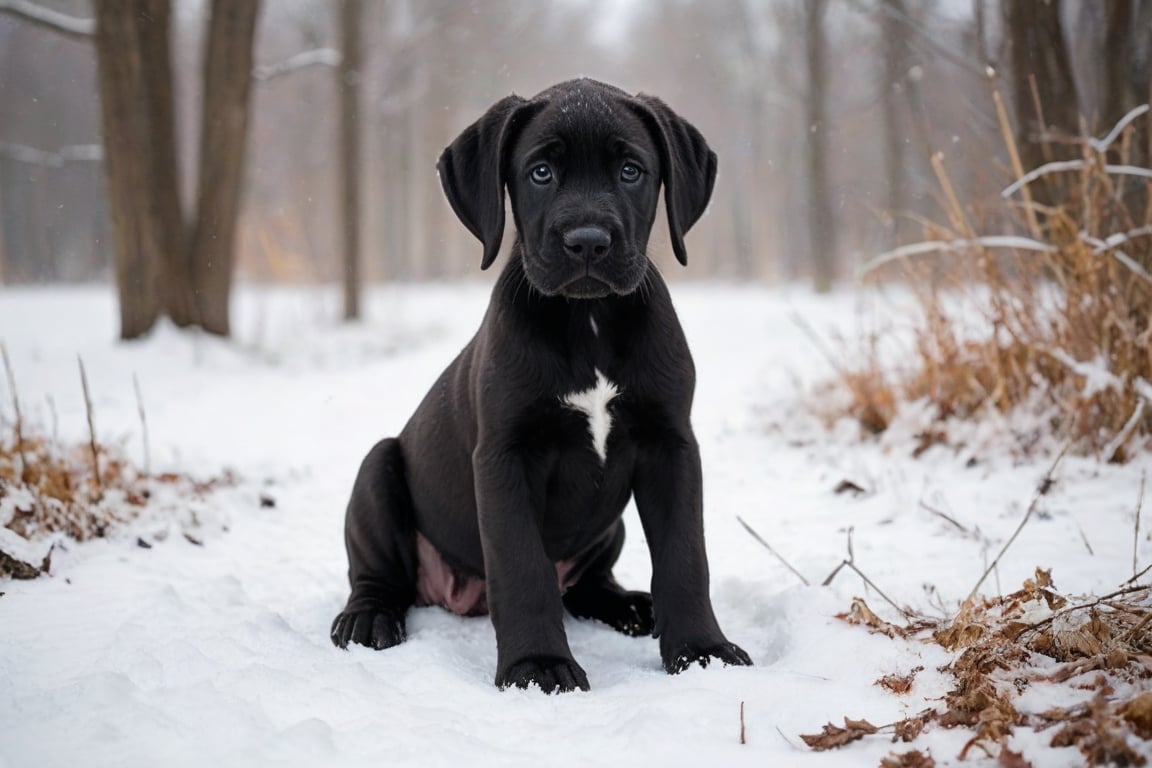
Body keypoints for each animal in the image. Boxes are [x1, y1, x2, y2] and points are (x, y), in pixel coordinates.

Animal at [329, 79, 751, 695]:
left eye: (630, 171)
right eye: (541, 173)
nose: (588, 242)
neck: (588, 319)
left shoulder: (671, 446)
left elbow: (684, 557)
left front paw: (702, 652)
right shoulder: (505, 457)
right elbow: (522, 568)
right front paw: (537, 666)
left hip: (610, 527)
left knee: (587, 586)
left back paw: (630, 605)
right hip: (377, 469)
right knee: (379, 575)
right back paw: (368, 617)